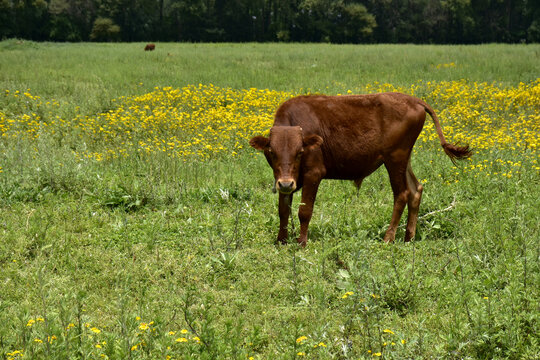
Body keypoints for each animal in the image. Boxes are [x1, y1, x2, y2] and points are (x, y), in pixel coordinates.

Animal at [251, 91, 470, 246]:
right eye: (272, 152)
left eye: (299, 151)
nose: (286, 183)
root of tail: (414, 100)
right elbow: (283, 210)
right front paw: (281, 240)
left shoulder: (313, 174)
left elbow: (304, 211)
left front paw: (301, 242)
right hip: (404, 160)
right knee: (416, 190)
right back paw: (409, 237)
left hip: (395, 160)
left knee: (402, 194)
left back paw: (389, 237)